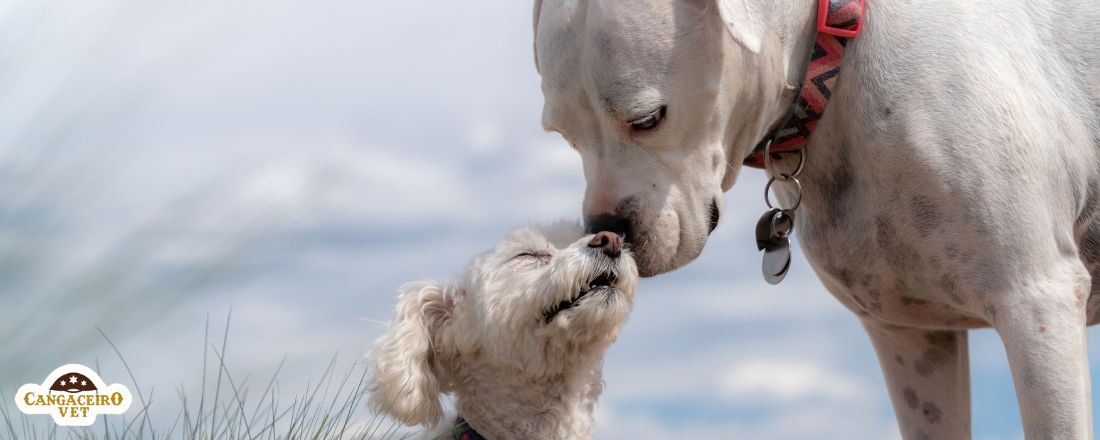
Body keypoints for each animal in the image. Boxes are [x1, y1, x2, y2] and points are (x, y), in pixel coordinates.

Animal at [534, 0, 1100, 437]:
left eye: (648, 119)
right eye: (564, 135)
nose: (607, 230)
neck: (836, 62)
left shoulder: (1035, 304)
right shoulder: (911, 339)